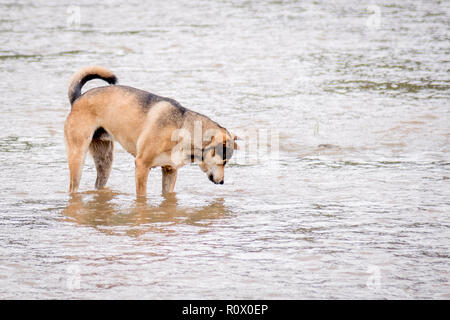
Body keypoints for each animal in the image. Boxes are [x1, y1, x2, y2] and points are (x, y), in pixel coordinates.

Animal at [64, 66, 239, 198]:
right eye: (224, 161)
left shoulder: (170, 170)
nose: (222, 182)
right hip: (78, 156)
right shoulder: (141, 165)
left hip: (105, 161)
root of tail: (77, 99)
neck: (181, 129)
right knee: (73, 186)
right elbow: (142, 196)